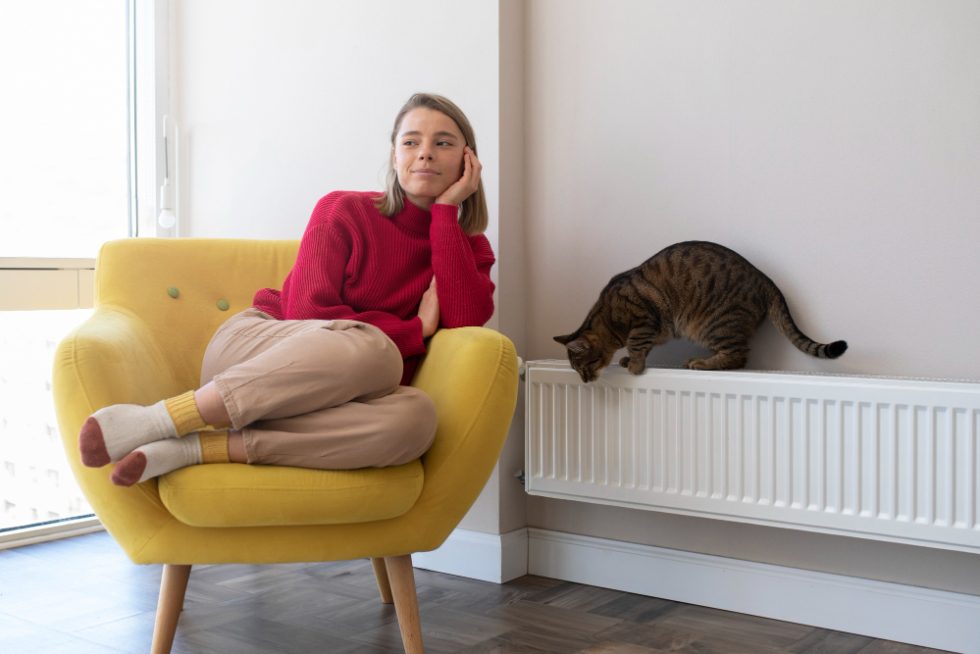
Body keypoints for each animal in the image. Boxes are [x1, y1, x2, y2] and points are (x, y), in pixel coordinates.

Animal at [556, 241, 848, 384]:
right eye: (576, 370)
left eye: (584, 367)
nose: (584, 382)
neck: (606, 316)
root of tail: (767, 280)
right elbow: (643, 347)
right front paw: (628, 360)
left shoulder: (643, 318)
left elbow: (638, 344)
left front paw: (635, 365)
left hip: (713, 324)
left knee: (738, 357)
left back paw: (700, 363)